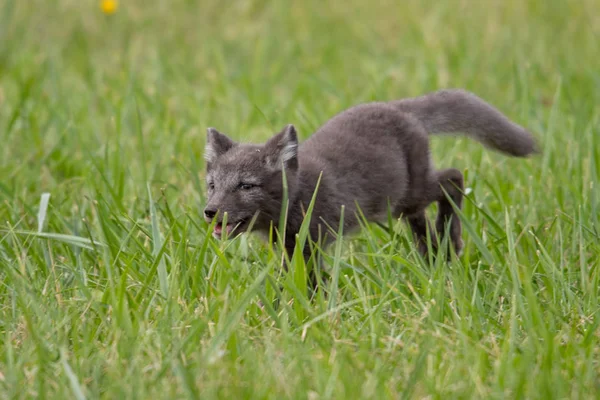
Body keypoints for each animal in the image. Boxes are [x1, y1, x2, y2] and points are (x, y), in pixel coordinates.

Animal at [204, 90, 536, 278]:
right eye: (212, 185)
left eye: (246, 186)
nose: (210, 212)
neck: (301, 195)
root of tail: (395, 107)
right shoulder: (291, 248)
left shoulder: (311, 245)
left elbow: (309, 285)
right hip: (402, 206)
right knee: (423, 223)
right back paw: (435, 259)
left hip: (412, 194)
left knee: (454, 177)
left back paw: (449, 240)